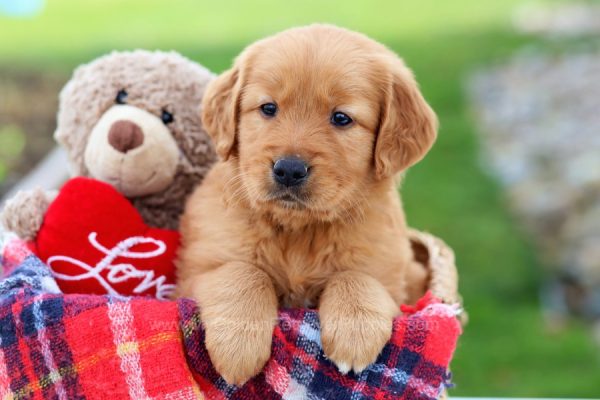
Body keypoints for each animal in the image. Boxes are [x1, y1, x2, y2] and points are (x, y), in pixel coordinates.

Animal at [177, 24, 436, 384]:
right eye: (268, 108)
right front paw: (237, 347)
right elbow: (243, 272)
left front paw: (355, 334)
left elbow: (357, 277)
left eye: (341, 118)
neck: (299, 230)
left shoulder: (394, 277)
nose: (288, 170)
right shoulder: (194, 273)